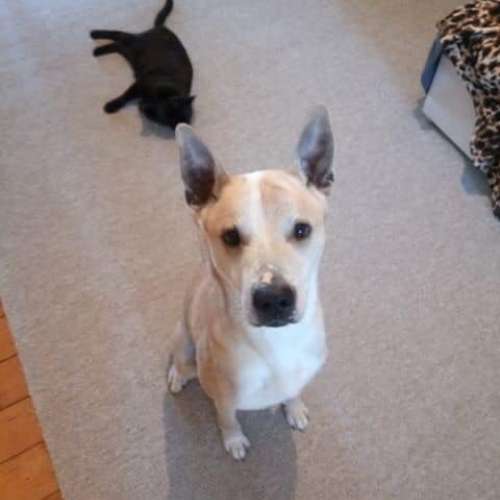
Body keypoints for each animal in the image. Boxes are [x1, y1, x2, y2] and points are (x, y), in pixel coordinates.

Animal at [90, 0, 194, 129]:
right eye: (169, 119)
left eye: (169, 122)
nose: (143, 106)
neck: (165, 95)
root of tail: (162, 27)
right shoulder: (139, 84)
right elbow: (125, 96)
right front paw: (112, 106)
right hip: (136, 43)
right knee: (119, 35)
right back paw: (94, 36)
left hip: (132, 54)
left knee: (119, 45)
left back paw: (97, 50)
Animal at [168, 107, 334, 460]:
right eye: (231, 236)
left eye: (302, 230)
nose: (273, 299)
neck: (277, 342)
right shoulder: (222, 397)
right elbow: (226, 418)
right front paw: (233, 440)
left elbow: (293, 392)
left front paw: (294, 408)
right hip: (184, 340)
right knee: (181, 361)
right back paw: (177, 374)